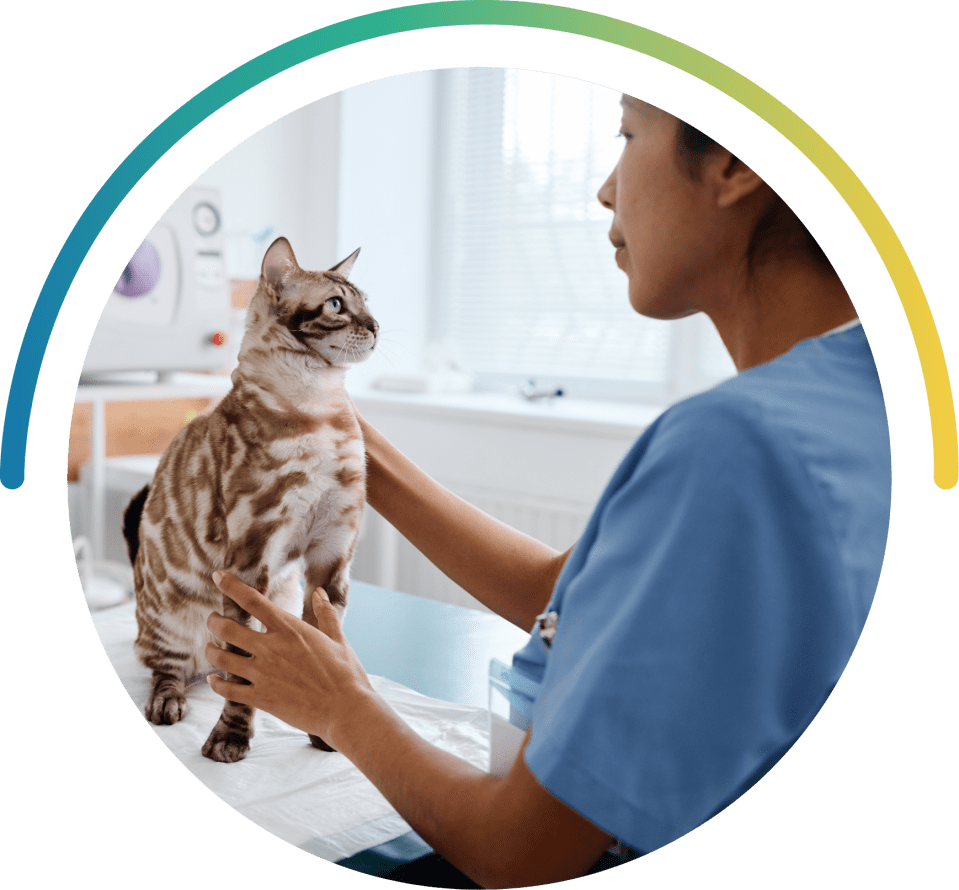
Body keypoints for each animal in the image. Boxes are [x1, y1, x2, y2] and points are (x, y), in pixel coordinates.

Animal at [120, 238, 376, 764]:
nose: (377, 326)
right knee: (168, 668)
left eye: (367, 302)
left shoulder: (332, 554)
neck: (319, 409)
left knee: (221, 666)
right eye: (336, 305)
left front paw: (325, 729)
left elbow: (326, 646)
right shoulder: (251, 558)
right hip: (169, 616)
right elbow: (242, 675)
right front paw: (230, 738)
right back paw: (168, 702)